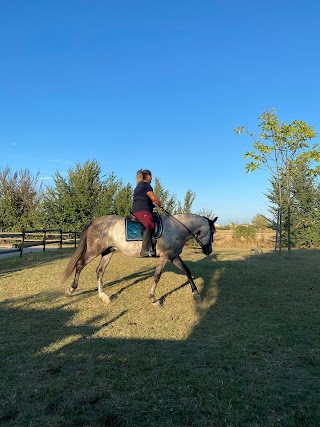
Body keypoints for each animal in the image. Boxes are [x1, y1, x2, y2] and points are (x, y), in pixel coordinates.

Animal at [61, 212, 218, 306]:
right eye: (212, 232)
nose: (208, 251)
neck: (176, 228)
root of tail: (95, 221)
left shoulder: (173, 256)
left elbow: (187, 271)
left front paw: (197, 294)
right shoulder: (165, 257)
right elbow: (157, 276)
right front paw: (153, 298)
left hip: (108, 252)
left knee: (99, 271)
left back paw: (103, 296)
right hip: (94, 251)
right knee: (80, 265)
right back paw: (71, 289)